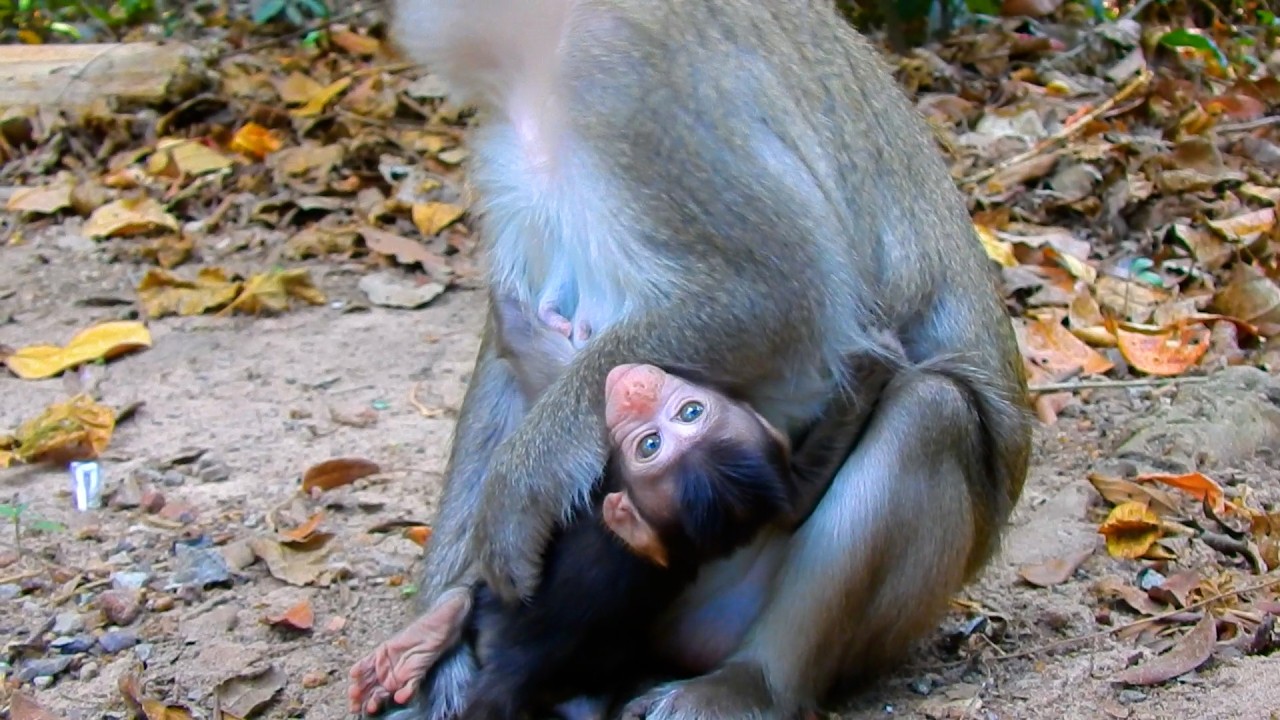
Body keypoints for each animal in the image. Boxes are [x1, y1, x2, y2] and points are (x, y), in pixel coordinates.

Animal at [367, 1, 1034, 718]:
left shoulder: (642, 87)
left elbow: (780, 296)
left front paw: (522, 486)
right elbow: (508, 339)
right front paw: (438, 648)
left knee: (931, 411)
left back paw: (753, 683)